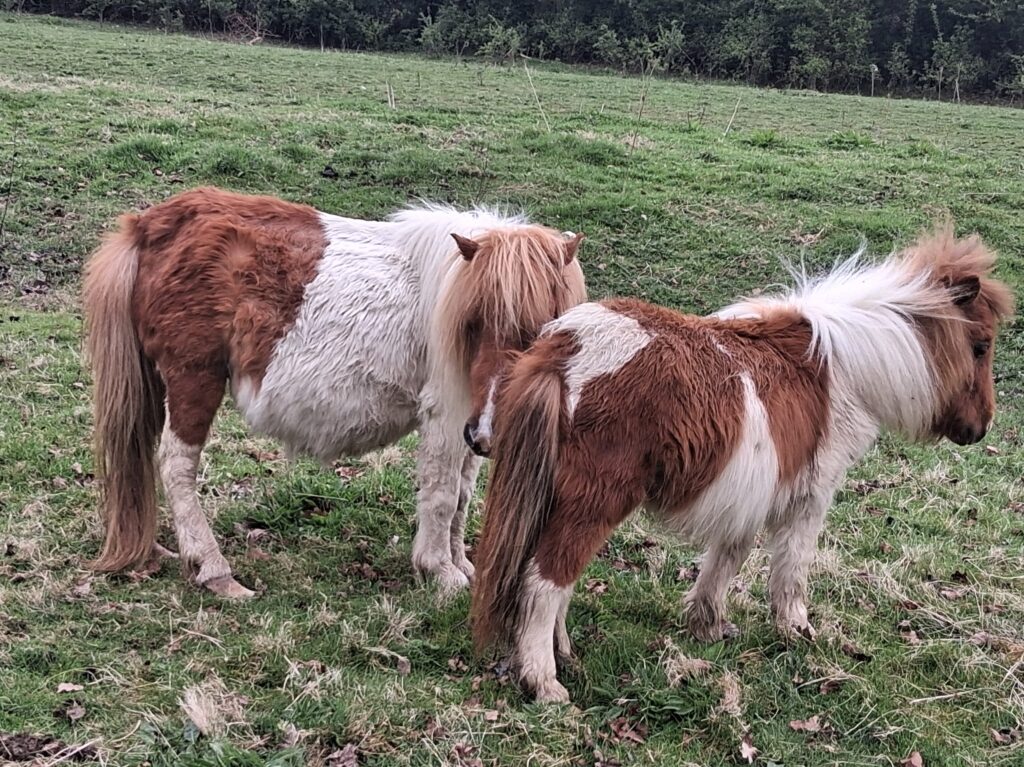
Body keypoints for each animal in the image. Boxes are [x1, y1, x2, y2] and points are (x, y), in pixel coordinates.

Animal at [83, 187, 586, 598]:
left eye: (543, 326)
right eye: (476, 320)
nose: (488, 433)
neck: (448, 297)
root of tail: (151, 226)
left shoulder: (472, 420)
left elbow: (463, 494)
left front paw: (461, 563)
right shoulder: (449, 414)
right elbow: (443, 494)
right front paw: (440, 572)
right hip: (194, 378)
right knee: (177, 466)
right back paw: (213, 569)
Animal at [470, 225, 1013, 703]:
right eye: (981, 346)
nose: (982, 428)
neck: (838, 368)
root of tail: (563, 347)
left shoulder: (752, 493)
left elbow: (726, 559)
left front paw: (707, 624)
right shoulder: (810, 499)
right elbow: (791, 570)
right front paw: (796, 632)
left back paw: (562, 654)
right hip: (594, 503)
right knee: (546, 581)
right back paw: (544, 681)